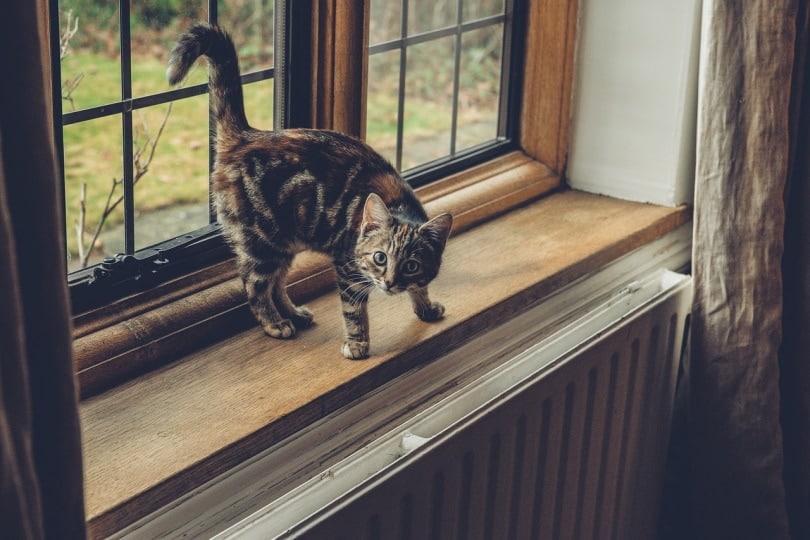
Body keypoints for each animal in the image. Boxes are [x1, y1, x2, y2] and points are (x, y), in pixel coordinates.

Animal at [166, 22, 452, 358]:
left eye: (411, 265)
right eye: (380, 258)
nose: (390, 283)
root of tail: (245, 136)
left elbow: (420, 287)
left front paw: (425, 307)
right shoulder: (348, 270)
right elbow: (355, 312)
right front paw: (357, 343)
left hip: (282, 243)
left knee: (276, 283)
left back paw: (293, 313)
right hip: (262, 244)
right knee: (254, 285)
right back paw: (275, 322)